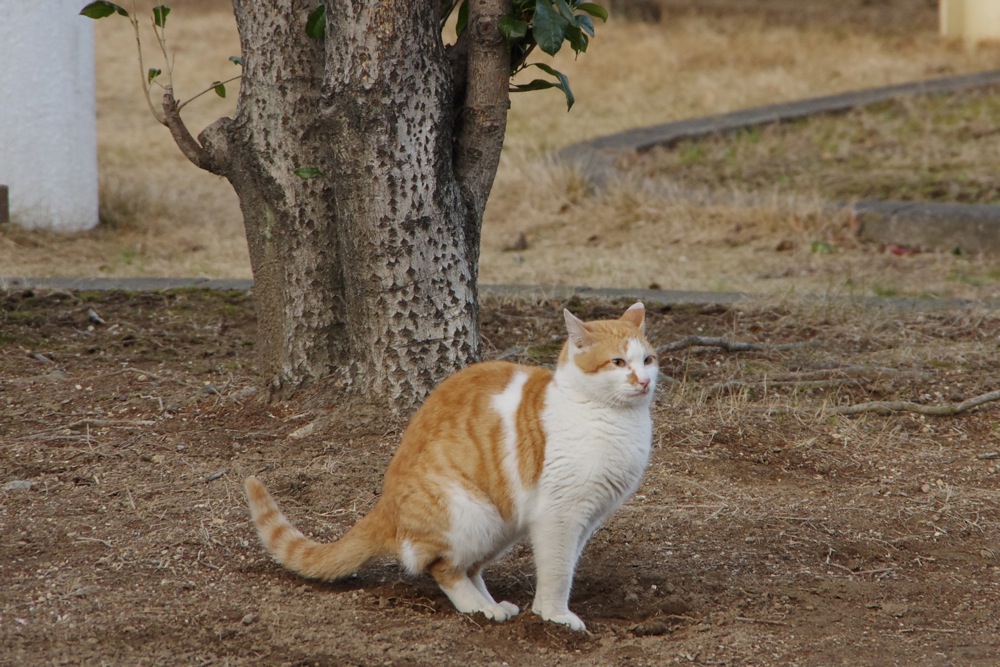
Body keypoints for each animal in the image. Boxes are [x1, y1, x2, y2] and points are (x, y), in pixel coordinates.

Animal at [244, 302, 658, 632]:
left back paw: (491, 605)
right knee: (444, 567)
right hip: (470, 512)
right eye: (618, 362)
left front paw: (544, 611)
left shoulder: (583, 520)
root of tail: (385, 506)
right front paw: (554, 616)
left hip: (500, 523)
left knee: (469, 567)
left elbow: (565, 566)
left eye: (648, 360)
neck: (611, 417)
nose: (644, 380)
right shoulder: (560, 516)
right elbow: (557, 570)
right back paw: (478, 608)